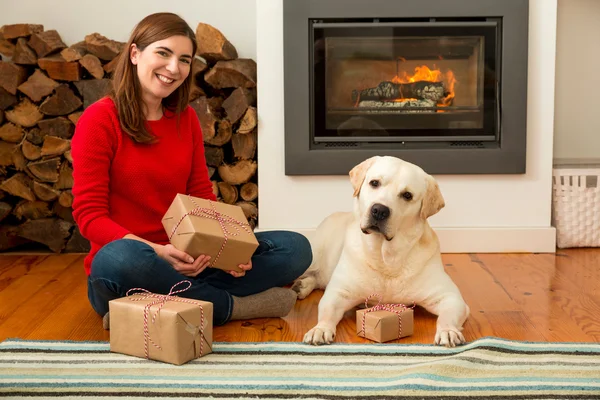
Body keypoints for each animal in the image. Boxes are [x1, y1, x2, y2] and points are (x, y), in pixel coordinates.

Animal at [292, 155, 472, 346]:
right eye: (374, 183)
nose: (379, 210)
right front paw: (320, 329)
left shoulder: (450, 297)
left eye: (407, 195)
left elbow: (447, 316)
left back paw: (303, 286)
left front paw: (448, 331)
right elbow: (327, 311)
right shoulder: (339, 293)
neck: (386, 257)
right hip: (311, 256)